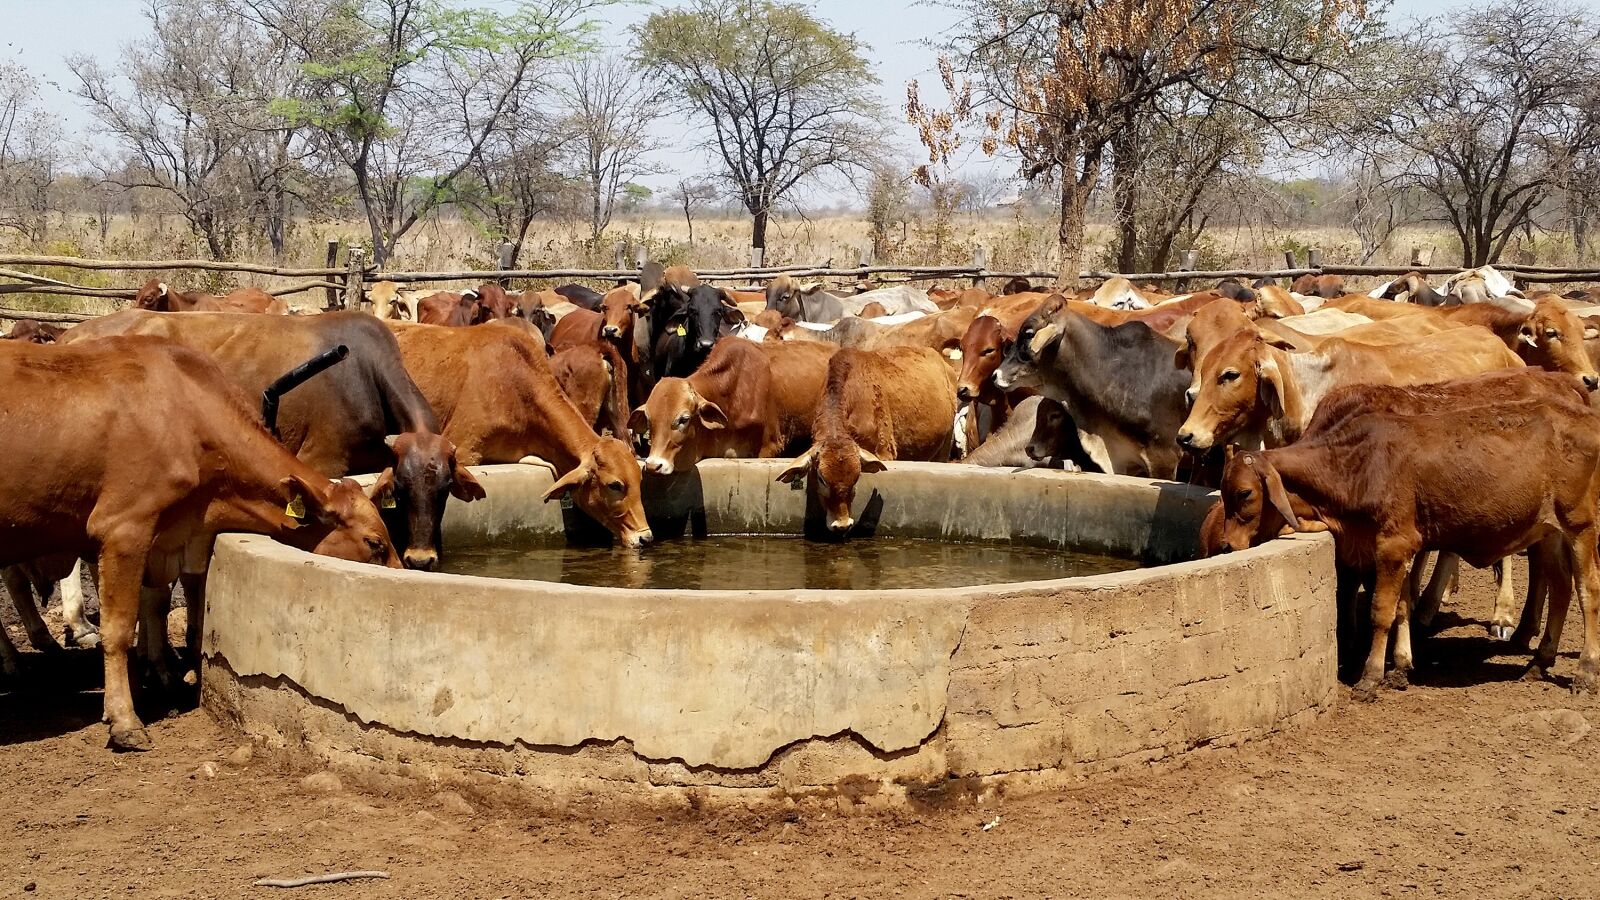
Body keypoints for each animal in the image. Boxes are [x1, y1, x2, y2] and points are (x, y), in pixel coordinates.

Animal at [0, 335, 399, 749]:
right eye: (375, 543)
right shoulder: (124, 527)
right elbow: (120, 627)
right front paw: (125, 719)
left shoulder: (169, 541)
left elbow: (161, 607)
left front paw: (162, 676)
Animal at [64, 309, 480, 572]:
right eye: (403, 488)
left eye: (444, 489)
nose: (421, 560)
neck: (365, 375)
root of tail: (73, 332)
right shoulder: (321, 458)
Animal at [1210, 371, 1600, 697]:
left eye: (1244, 494)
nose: (1227, 545)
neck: (1355, 464)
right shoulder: (1386, 551)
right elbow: (1399, 606)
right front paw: (1399, 666)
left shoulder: (1393, 545)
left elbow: (1381, 611)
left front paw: (1370, 676)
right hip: (1549, 531)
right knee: (1560, 587)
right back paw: (1538, 661)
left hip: (1581, 526)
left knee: (1587, 590)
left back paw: (1584, 671)